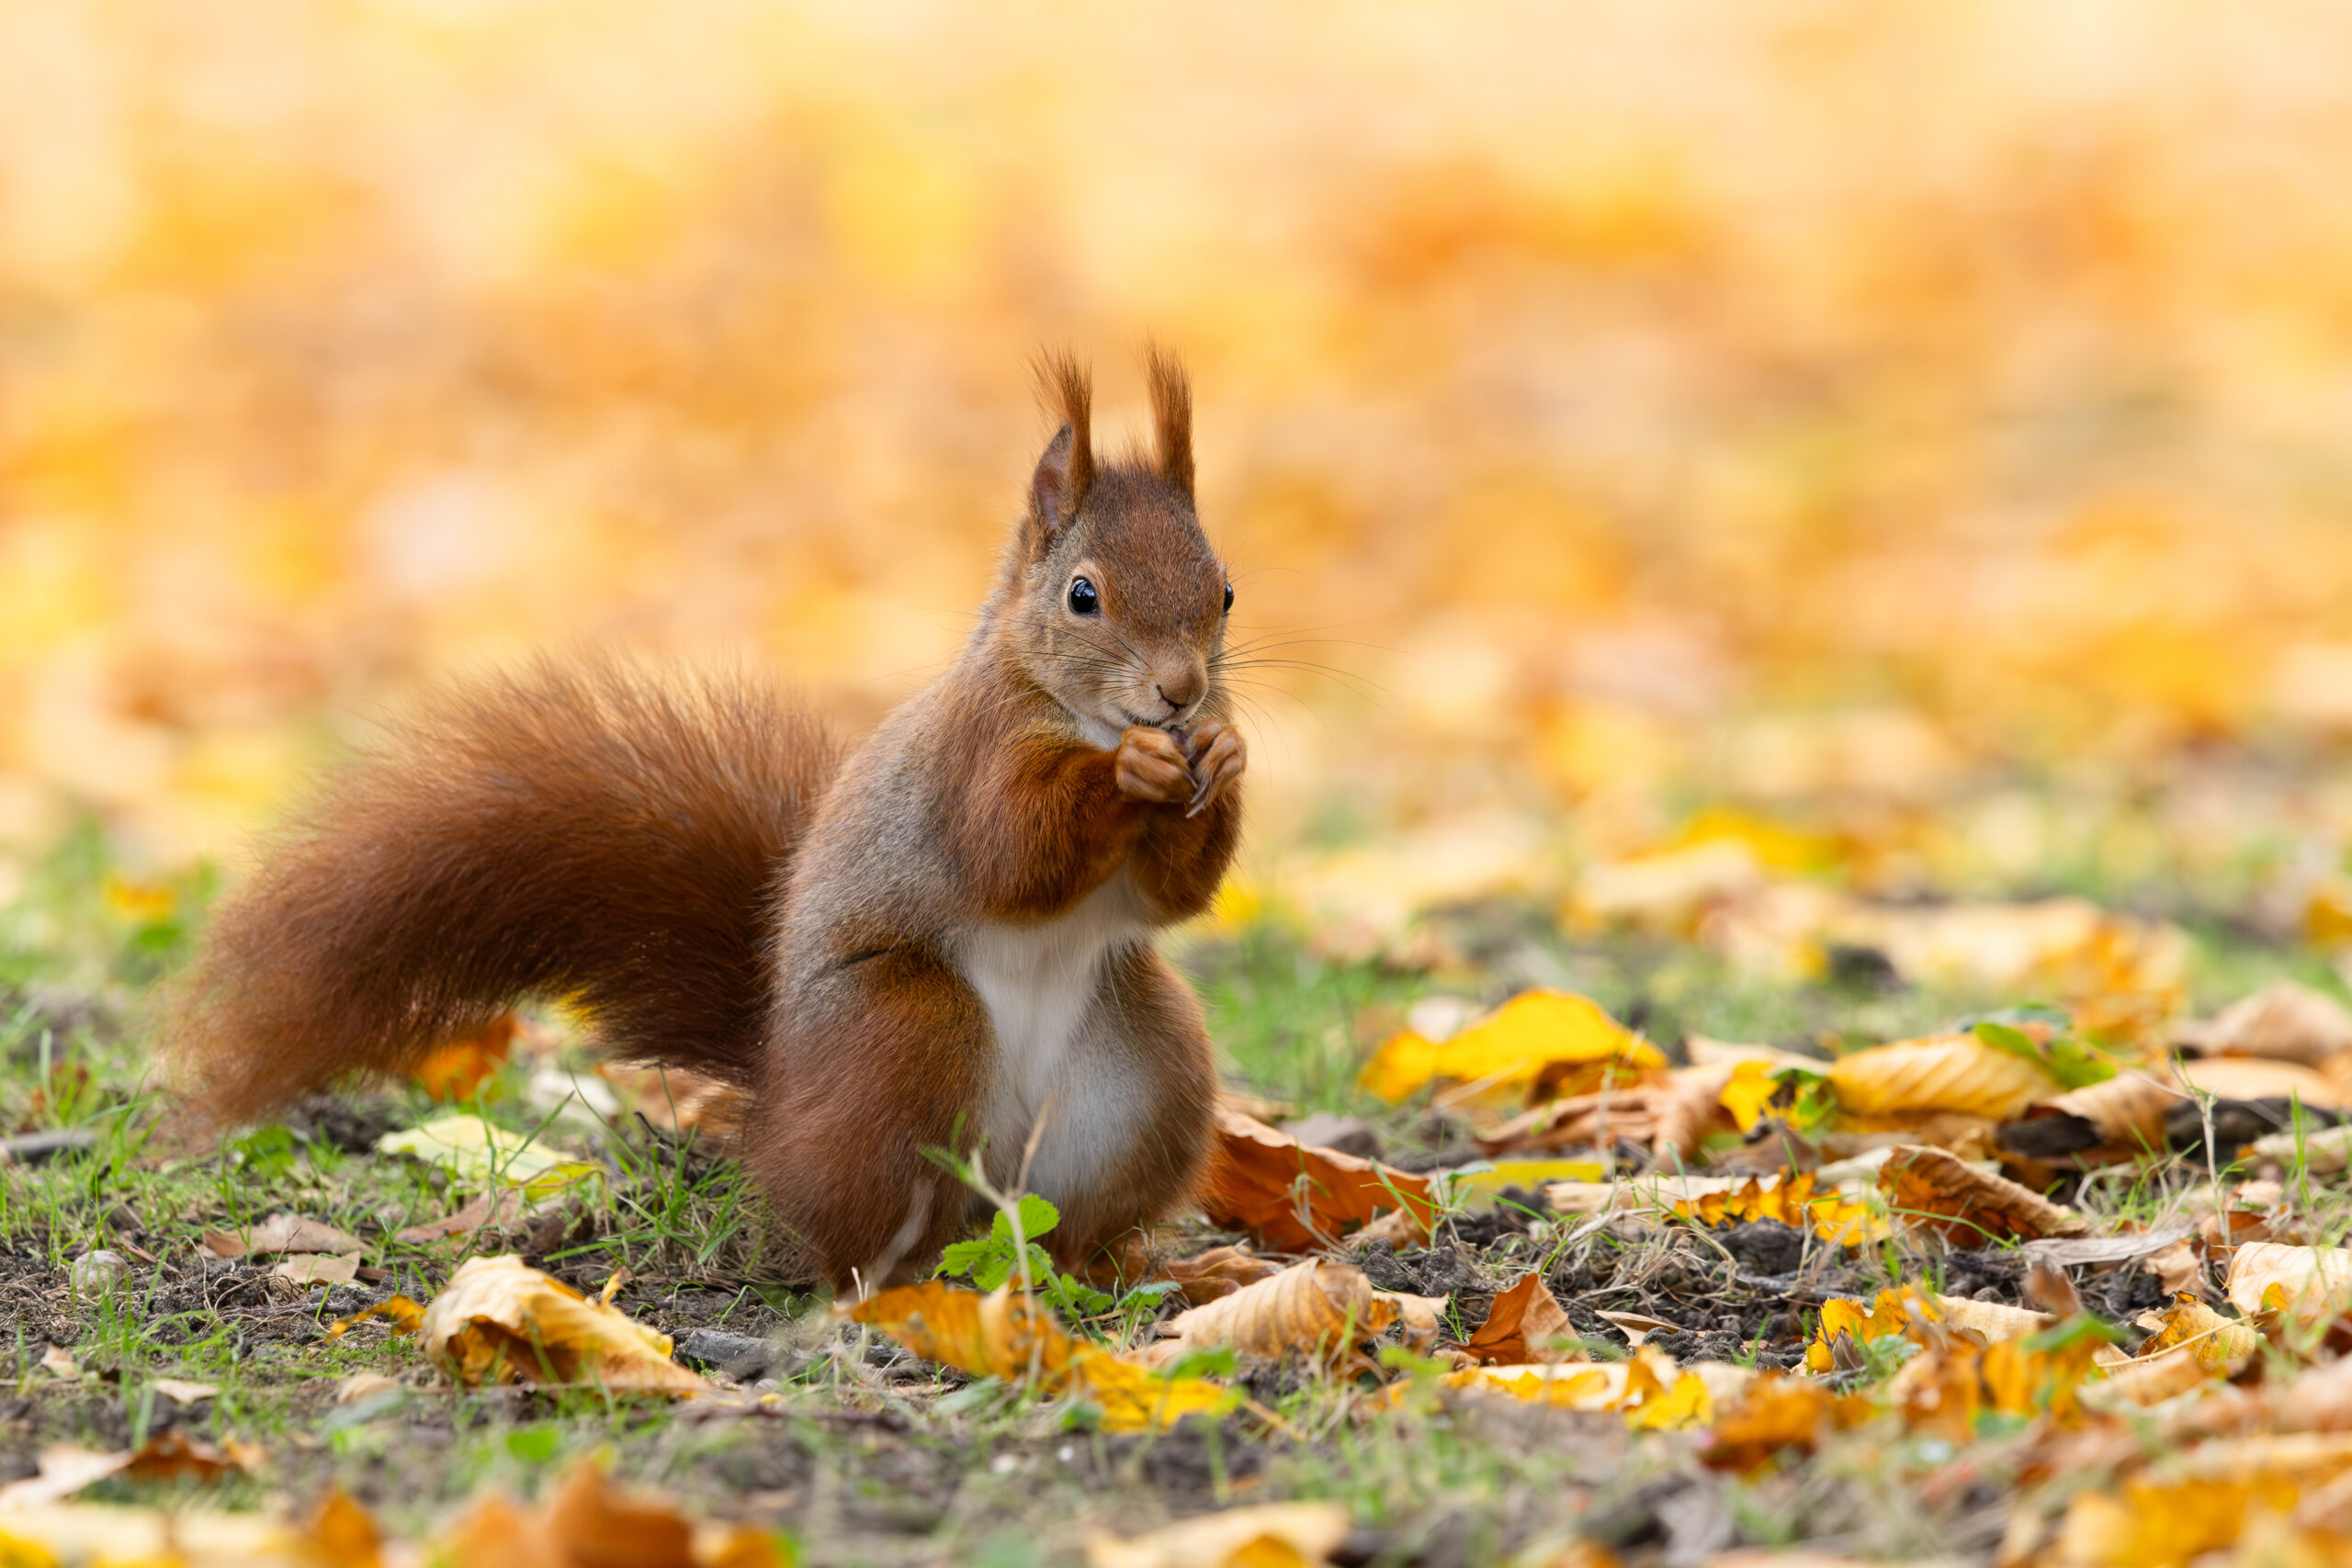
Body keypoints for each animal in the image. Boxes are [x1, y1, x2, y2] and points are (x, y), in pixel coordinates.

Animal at [160, 350, 1246, 1293]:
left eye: (1226, 590)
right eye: (1082, 596)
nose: (1182, 693)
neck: (1079, 713)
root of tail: (782, 1112)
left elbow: (1172, 892)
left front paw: (1225, 758)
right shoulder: (967, 758)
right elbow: (1014, 847)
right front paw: (1131, 770)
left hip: (1143, 1069)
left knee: (1060, 1230)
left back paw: (1130, 1268)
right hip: (903, 1031)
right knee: (872, 1234)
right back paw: (896, 1285)